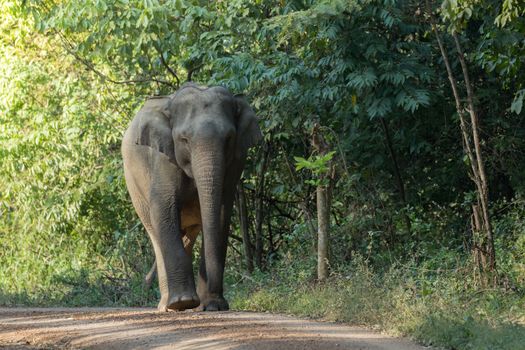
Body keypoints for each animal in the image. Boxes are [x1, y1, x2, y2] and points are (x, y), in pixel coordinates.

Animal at [122, 82, 262, 312]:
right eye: (184, 139)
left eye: (229, 138)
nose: (217, 302)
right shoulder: (162, 157)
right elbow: (164, 208)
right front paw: (184, 302)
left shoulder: (236, 160)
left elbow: (221, 212)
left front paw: (213, 306)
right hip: (135, 190)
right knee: (156, 234)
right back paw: (169, 305)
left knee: (187, 235)